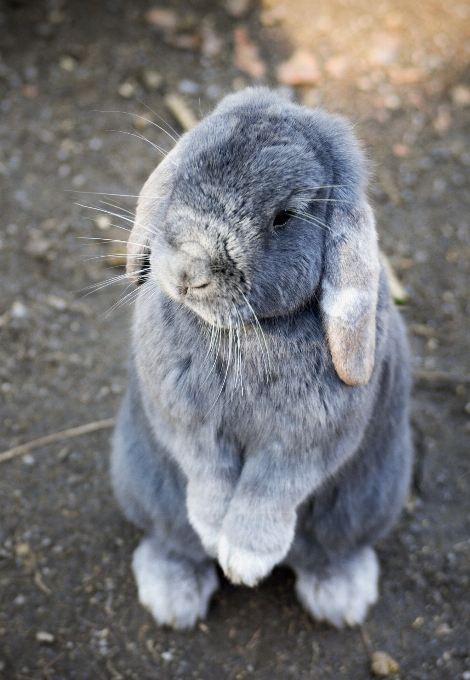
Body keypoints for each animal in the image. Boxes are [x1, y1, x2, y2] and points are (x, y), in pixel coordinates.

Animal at [110, 87, 412, 628]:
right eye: (183, 174)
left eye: (284, 217)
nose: (188, 270)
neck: (245, 332)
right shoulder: (188, 424)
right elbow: (208, 474)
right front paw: (216, 535)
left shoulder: (304, 443)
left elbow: (269, 491)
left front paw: (246, 561)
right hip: (144, 485)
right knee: (173, 540)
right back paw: (172, 597)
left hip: (365, 504)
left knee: (329, 552)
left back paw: (341, 599)